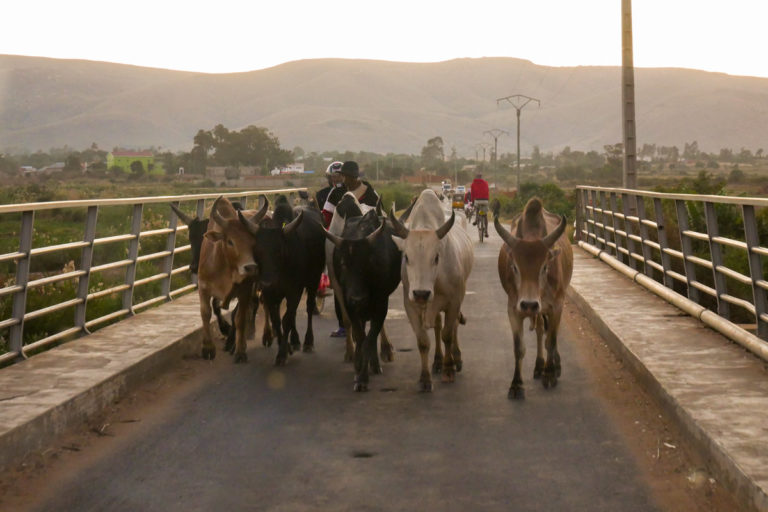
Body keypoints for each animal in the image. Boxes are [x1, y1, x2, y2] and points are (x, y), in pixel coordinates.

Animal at [238, 195, 326, 364]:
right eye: (257, 251)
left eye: (279, 251)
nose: (266, 282)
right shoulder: (270, 294)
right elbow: (277, 319)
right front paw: (285, 346)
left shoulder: (295, 290)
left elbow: (286, 319)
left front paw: (282, 353)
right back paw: (295, 340)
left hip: (314, 279)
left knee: (309, 307)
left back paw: (307, 342)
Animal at [324, 208, 404, 392]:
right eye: (343, 264)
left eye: (368, 263)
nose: (358, 298)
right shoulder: (348, 304)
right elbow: (361, 336)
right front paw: (359, 366)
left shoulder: (381, 303)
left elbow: (370, 337)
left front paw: (363, 377)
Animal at [496, 196, 572, 400]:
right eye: (514, 267)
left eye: (545, 266)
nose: (529, 304)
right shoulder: (514, 309)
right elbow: (519, 348)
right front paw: (516, 384)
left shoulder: (557, 306)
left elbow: (551, 341)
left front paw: (550, 374)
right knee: (538, 330)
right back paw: (539, 366)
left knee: (549, 335)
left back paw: (554, 366)